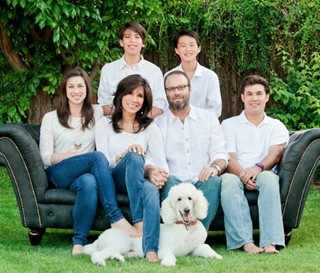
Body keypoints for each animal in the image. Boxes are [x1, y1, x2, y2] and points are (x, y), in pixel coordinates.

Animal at [84, 183, 221, 266]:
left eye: (190, 198)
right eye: (179, 199)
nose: (186, 210)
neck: (185, 227)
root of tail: (99, 238)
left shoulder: (194, 249)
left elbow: (206, 248)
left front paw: (217, 256)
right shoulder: (164, 250)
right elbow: (170, 255)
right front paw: (168, 263)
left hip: (130, 252)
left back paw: (117, 258)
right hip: (122, 243)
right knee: (97, 254)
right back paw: (100, 262)